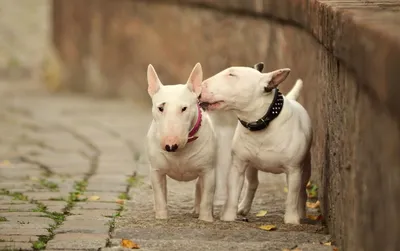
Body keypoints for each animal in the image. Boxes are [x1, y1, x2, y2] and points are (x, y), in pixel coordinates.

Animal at [145, 62, 217, 222]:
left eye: (184, 108)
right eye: (160, 108)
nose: (171, 146)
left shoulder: (208, 171)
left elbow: (207, 196)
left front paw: (206, 219)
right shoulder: (156, 171)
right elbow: (159, 195)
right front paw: (161, 217)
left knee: (199, 187)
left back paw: (198, 210)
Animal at [200, 62, 312, 224]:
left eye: (232, 75)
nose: (200, 86)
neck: (261, 124)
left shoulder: (294, 170)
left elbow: (292, 196)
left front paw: (291, 220)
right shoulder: (238, 165)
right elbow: (233, 192)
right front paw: (228, 217)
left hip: (306, 166)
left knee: (302, 189)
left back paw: (301, 213)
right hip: (252, 166)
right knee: (253, 184)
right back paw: (243, 208)